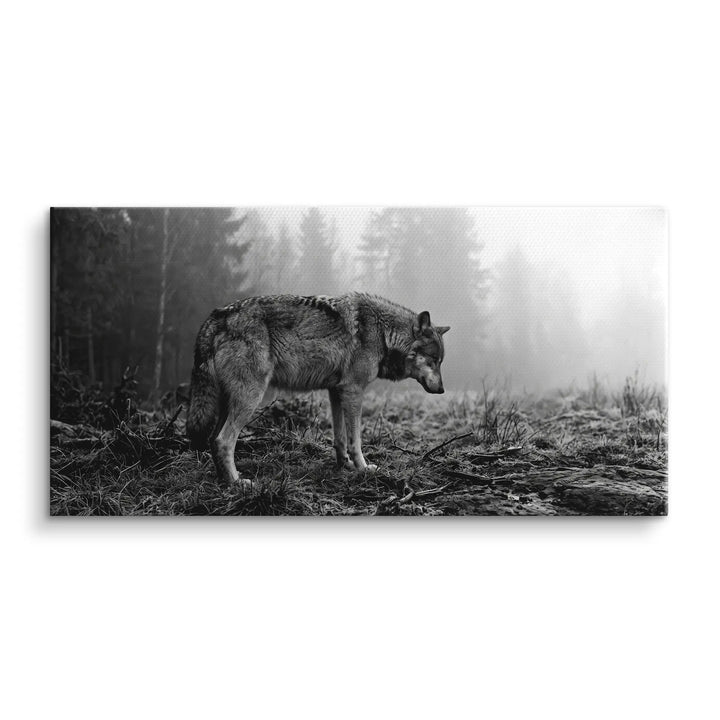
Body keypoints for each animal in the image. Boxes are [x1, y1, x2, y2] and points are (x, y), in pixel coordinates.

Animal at [187, 293, 450, 485]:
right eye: (434, 360)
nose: (442, 390)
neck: (384, 333)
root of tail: (216, 316)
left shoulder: (336, 391)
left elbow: (340, 438)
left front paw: (345, 465)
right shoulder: (354, 391)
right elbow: (356, 440)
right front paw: (363, 468)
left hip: (228, 402)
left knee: (212, 440)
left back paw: (225, 480)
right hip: (249, 399)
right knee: (223, 441)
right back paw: (236, 483)